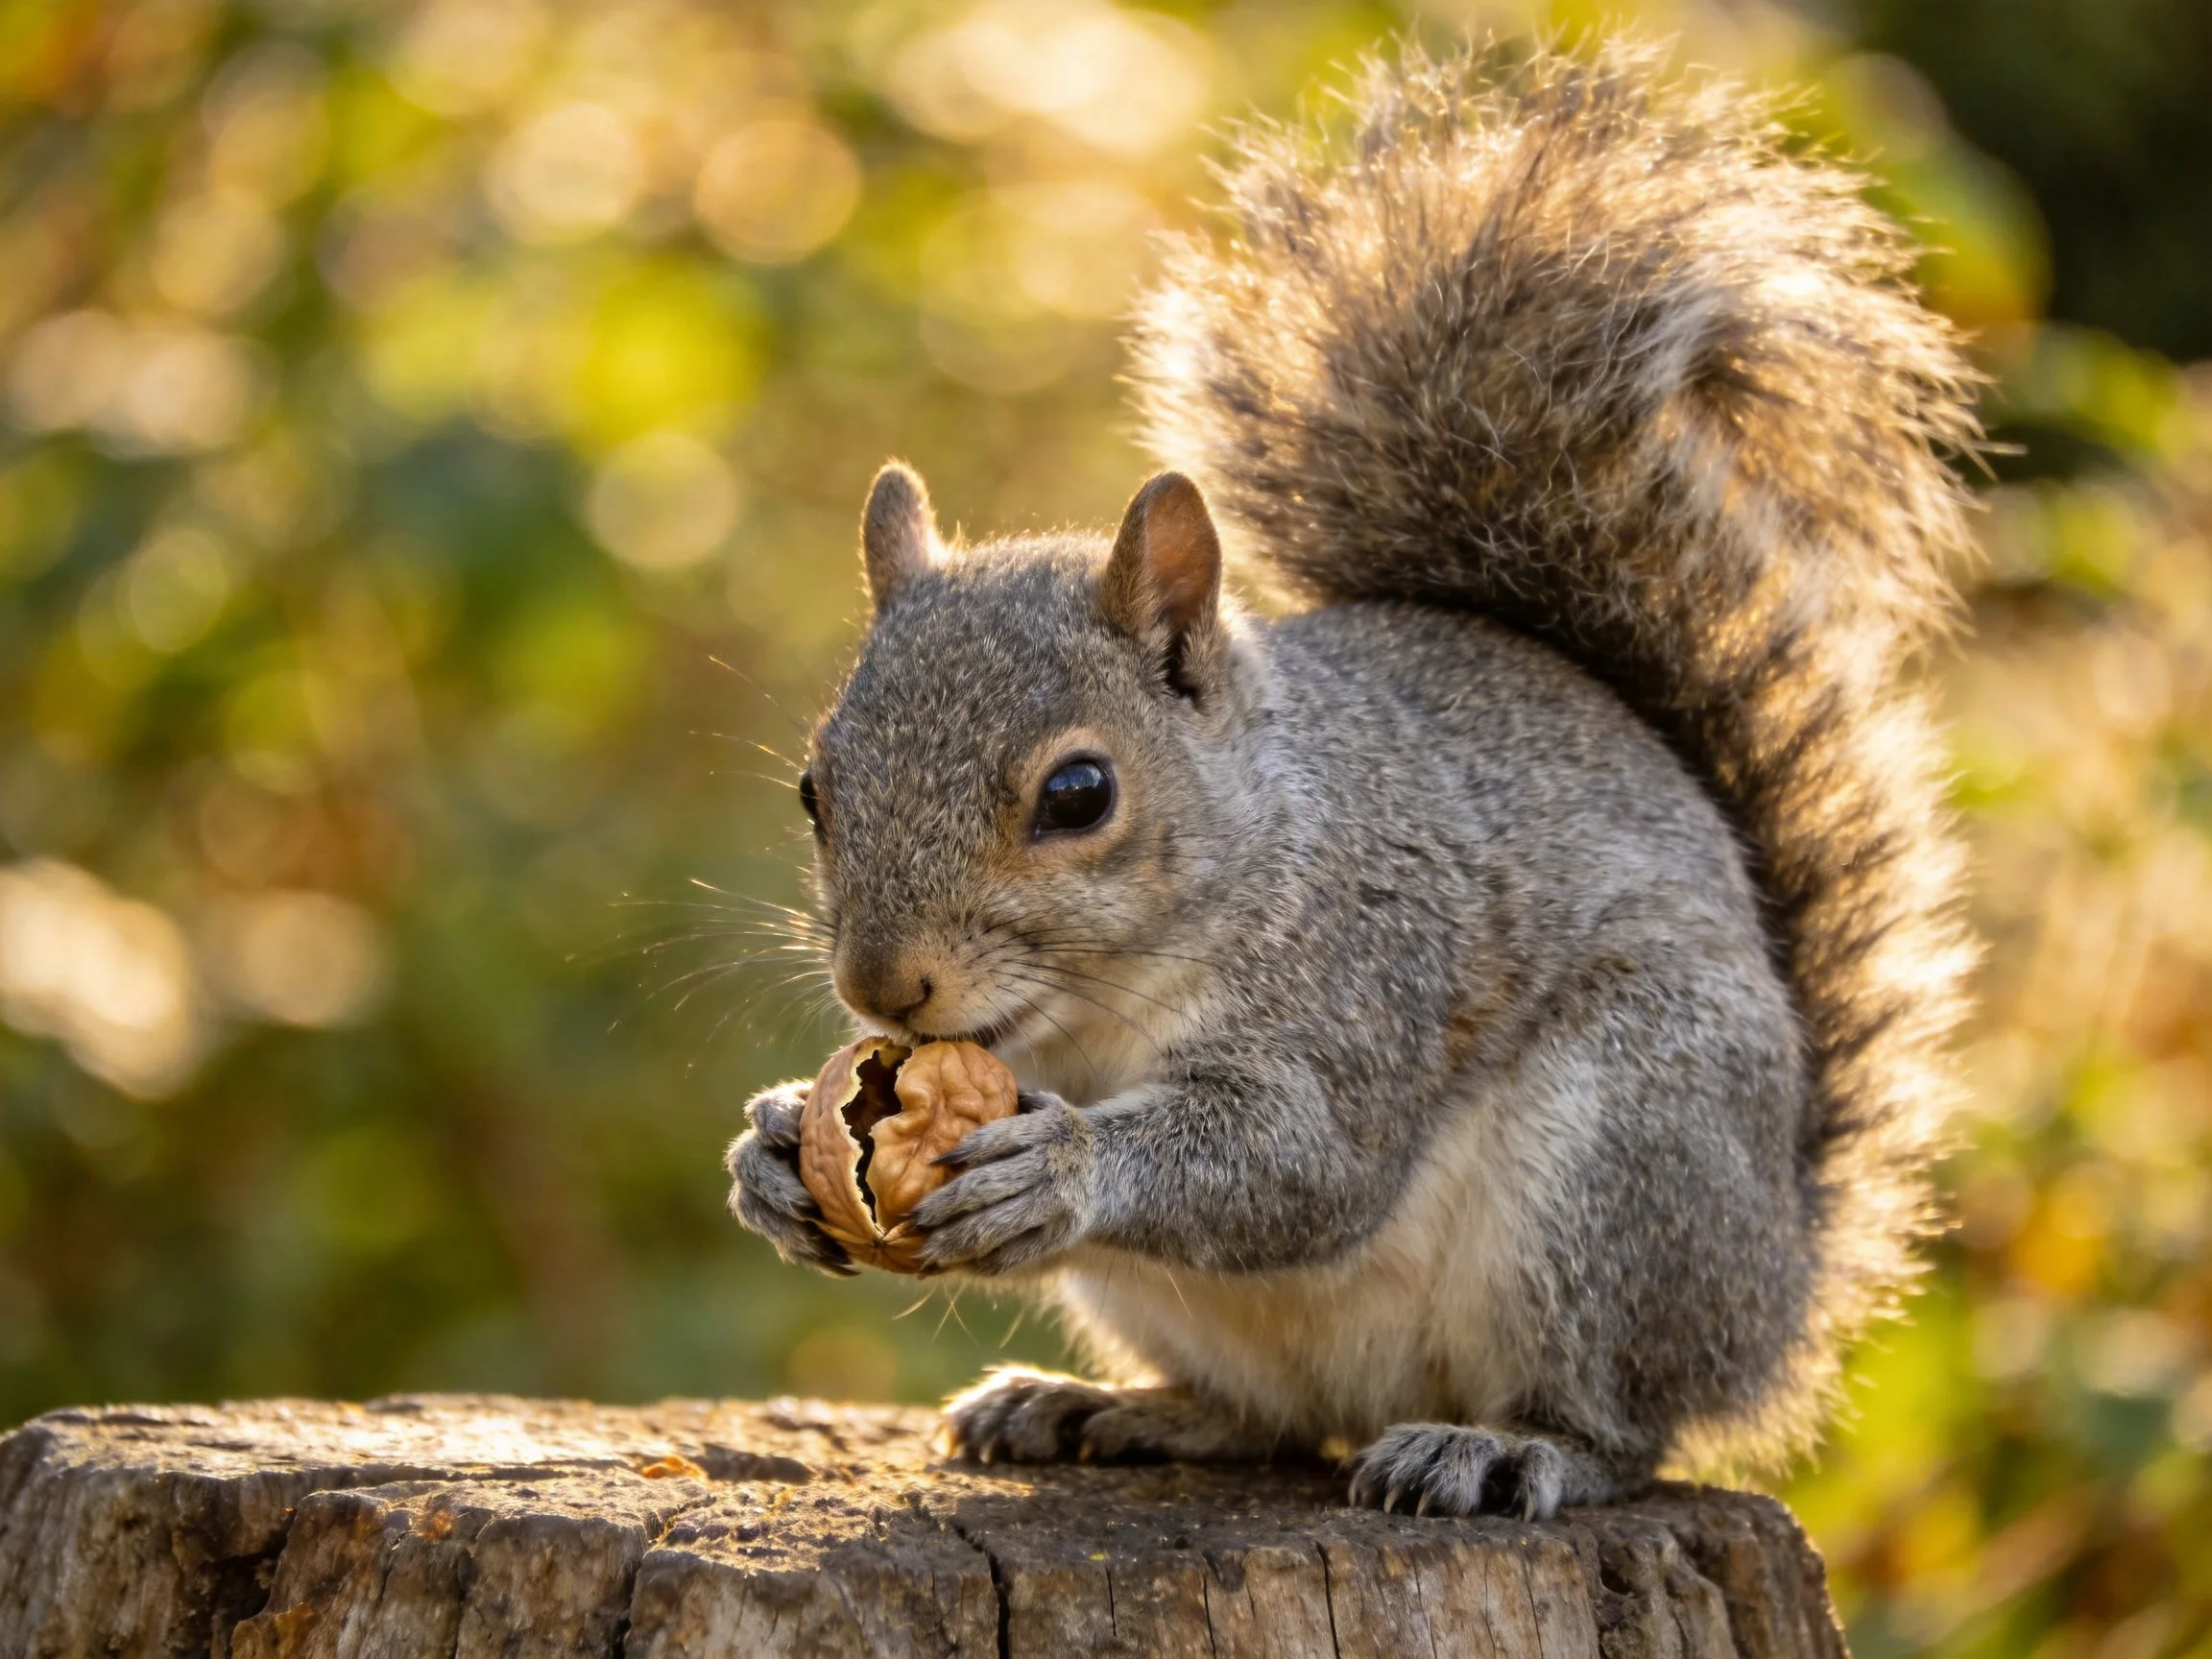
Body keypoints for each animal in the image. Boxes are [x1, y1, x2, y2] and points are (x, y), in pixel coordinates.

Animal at [726, 39, 1979, 1519]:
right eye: (815, 791)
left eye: (1079, 796)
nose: (883, 987)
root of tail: (1780, 1292)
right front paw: (768, 1151)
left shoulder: (1373, 964)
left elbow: (1303, 1157)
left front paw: (1066, 1165)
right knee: (1264, 1421)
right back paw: (1103, 1406)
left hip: (1623, 1154)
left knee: (1621, 1426)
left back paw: (1508, 1448)